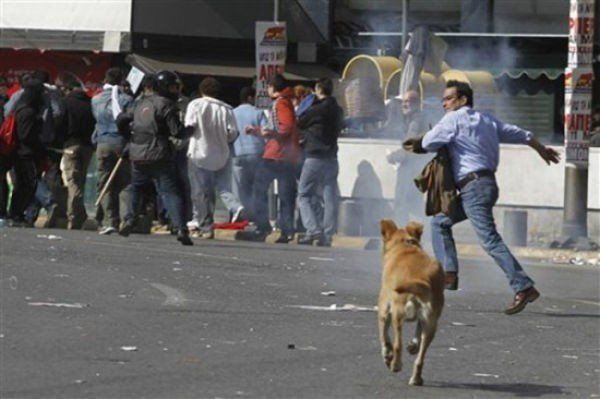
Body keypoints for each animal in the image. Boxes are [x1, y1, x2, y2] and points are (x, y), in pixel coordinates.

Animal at [380, 220, 446, 386]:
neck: (405, 244)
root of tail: (422, 278)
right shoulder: (425, 318)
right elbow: (417, 333)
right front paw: (412, 345)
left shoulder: (384, 308)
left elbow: (384, 336)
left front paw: (387, 354)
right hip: (432, 323)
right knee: (421, 355)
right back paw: (416, 377)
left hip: (397, 313)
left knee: (398, 344)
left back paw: (395, 365)